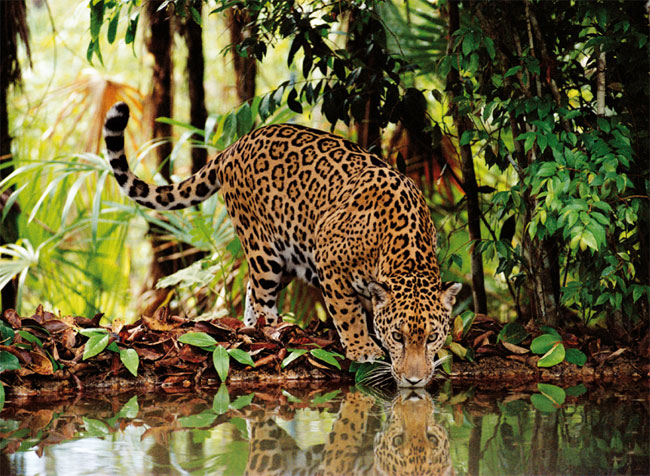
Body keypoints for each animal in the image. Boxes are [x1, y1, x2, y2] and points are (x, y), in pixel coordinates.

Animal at [103, 102, 461, 387]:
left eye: (432, 337)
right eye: (398, 337)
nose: (415, 381)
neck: (404, 252)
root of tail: (234, 146)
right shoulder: (329, 260)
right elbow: (348, 314)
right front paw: (363, 349)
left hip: (287, 254)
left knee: (250, 293)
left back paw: (251, 330)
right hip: (264, 249)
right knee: (262, 296)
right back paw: (271, 333)